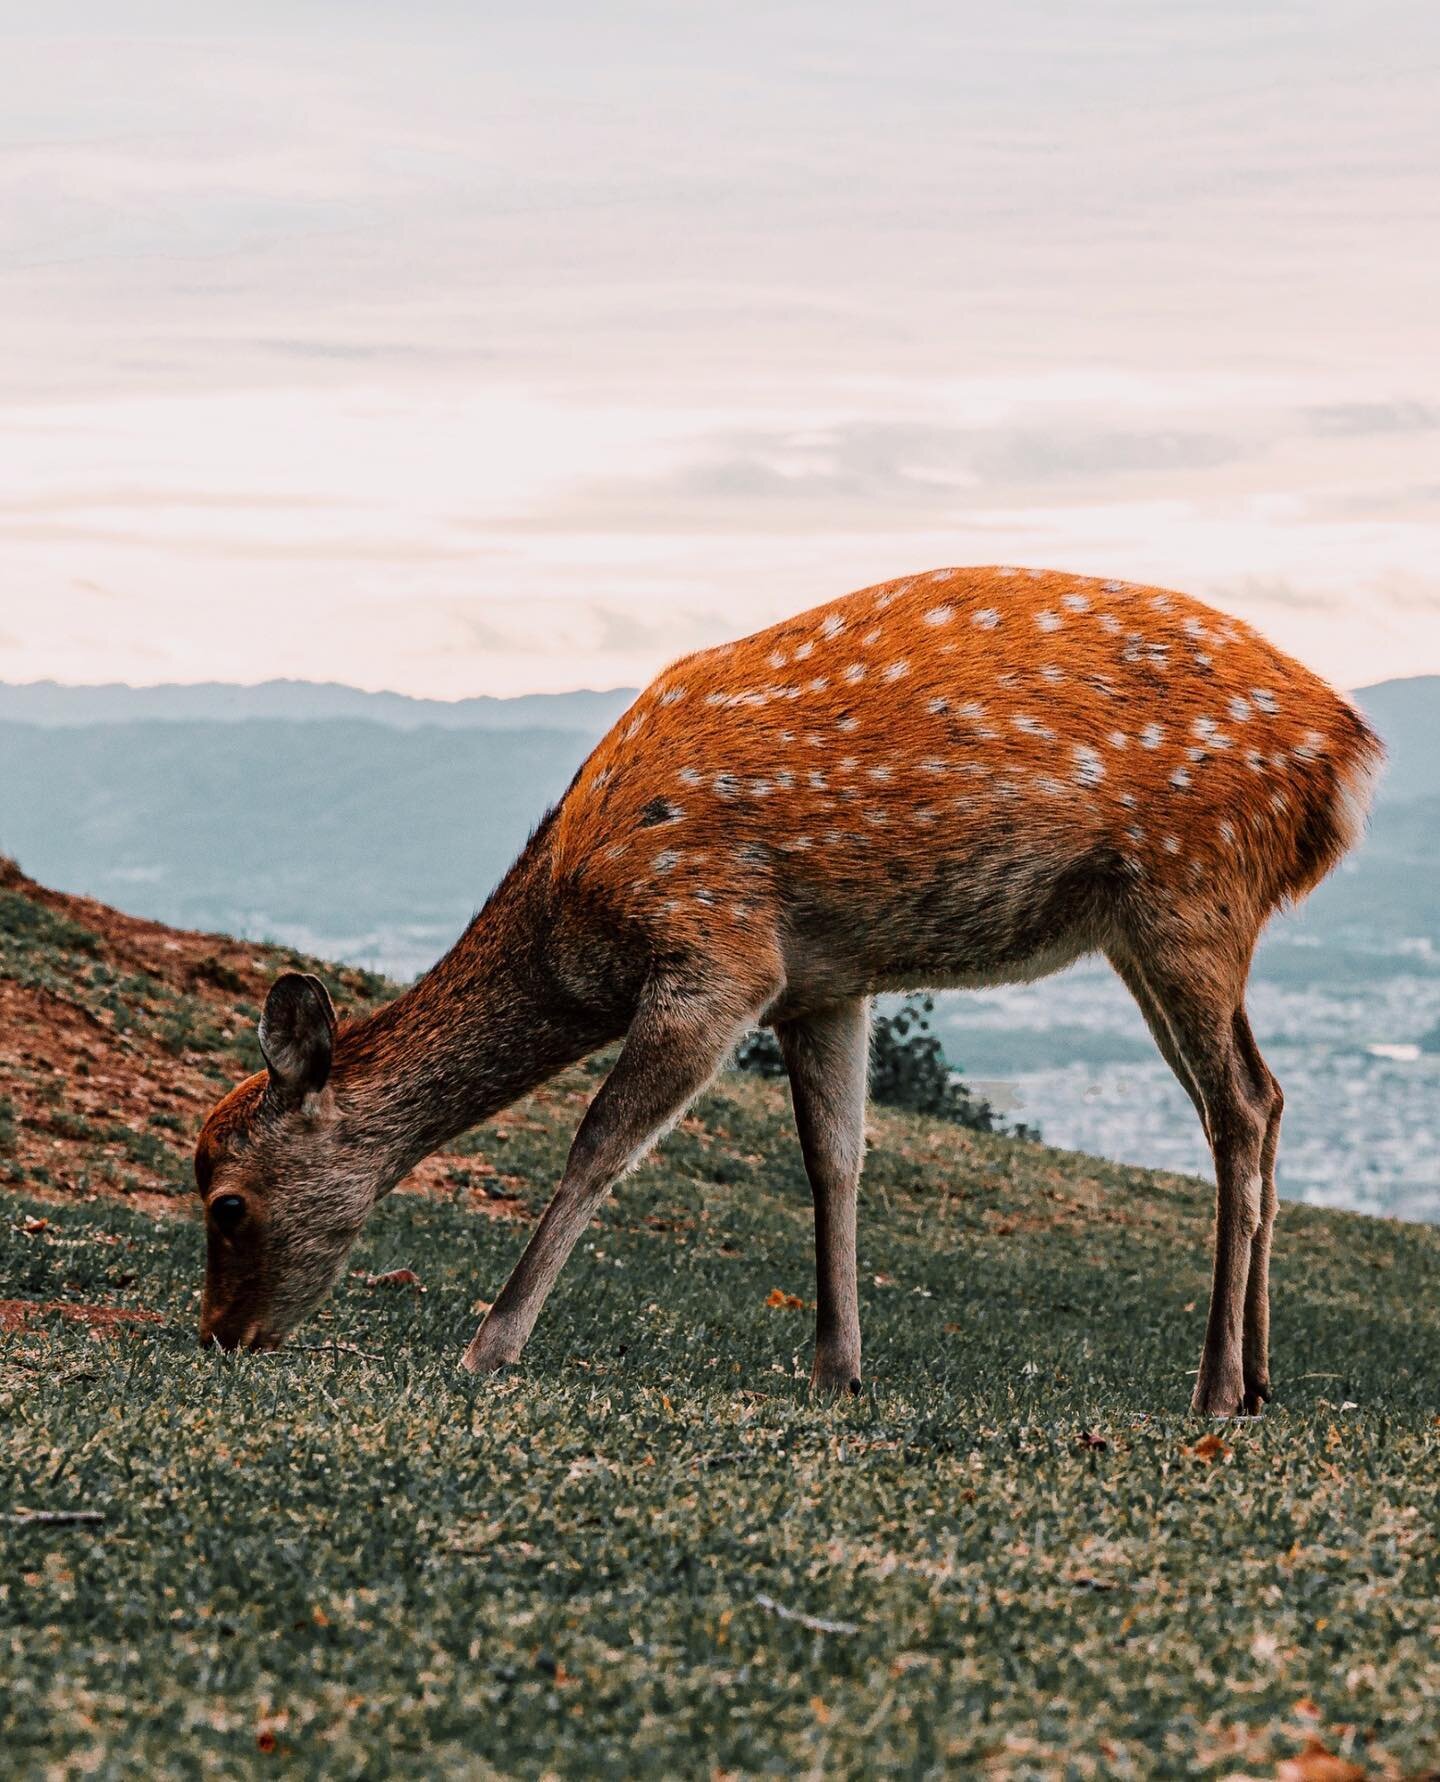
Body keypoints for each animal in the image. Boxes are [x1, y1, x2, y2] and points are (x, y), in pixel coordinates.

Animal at [194, 563, 1382, 1411]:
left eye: (227, 1203)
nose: (220, 1336)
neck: (576, 922)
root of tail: (1347, 761)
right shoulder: (823, 981)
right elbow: (835, 1159)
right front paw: (836, 1369)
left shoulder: (716, 954)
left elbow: (599, 1146)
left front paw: (489, 1346)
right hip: (1160, 928)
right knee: (1266, 1098)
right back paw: (1263, 1379)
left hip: (1191, 893)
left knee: (1239, 1107)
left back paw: (1216, 1387)